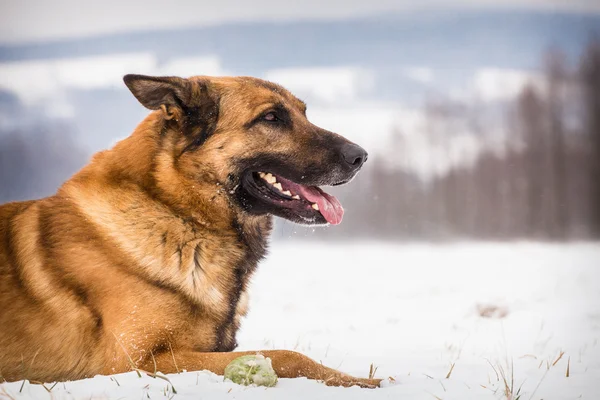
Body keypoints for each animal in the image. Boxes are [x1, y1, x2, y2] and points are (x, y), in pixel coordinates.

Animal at [0, 74, 380, 388]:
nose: (360, 156)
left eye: (304, 113)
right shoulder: (136, 363)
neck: (177, 212)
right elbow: (286, 355)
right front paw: (360, 381)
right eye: (271, 117)